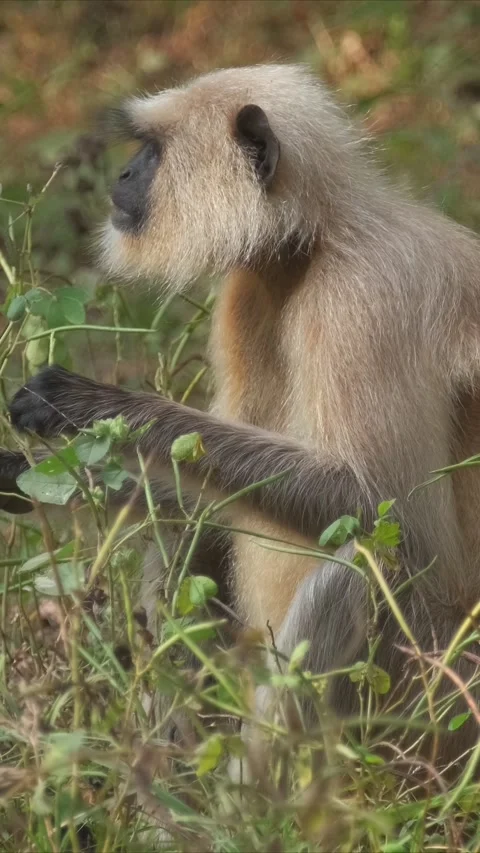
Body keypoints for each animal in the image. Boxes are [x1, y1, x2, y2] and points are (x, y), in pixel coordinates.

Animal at [3, 64, 480, 763]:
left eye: (154, 151)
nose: (125, 174)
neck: (315, 244)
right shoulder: (249, 293)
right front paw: (30, 477)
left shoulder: (365, 298)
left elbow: (389, 511)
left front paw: (92, 406)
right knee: (193, 530)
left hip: (431, 697)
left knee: (359, 563)